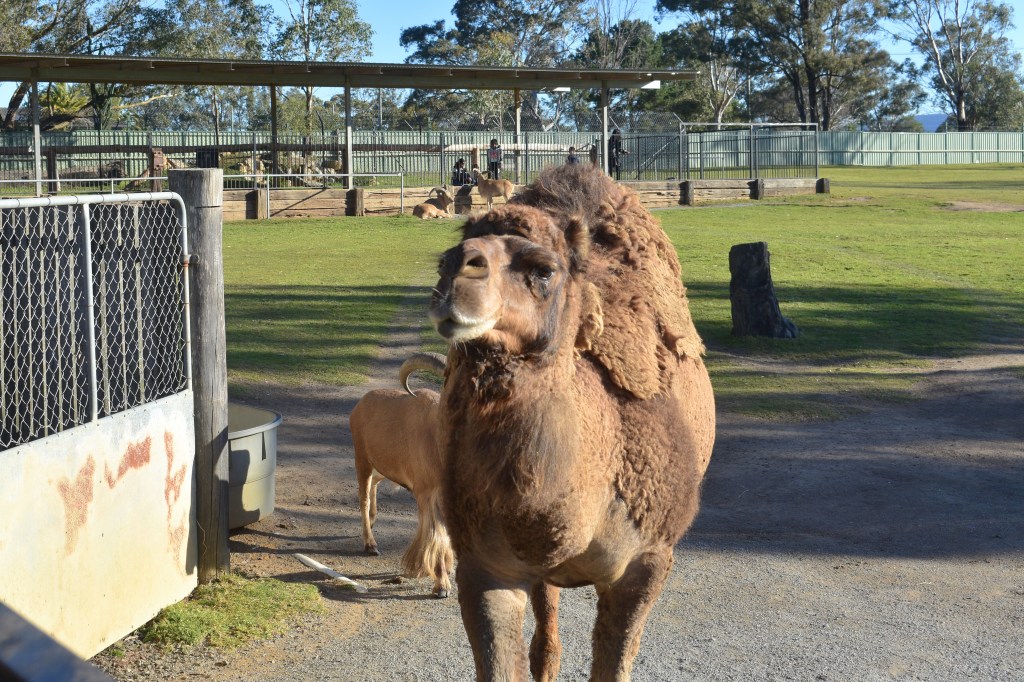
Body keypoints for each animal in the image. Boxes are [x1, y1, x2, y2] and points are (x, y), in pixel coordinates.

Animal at [348, 352, 454, 598]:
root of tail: (359, 406)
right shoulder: (427, 495)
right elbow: (436, 535)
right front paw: (441, 585)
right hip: (362, 460)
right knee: (363, 498)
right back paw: (370, 544)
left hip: (383, 467)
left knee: (375, 485)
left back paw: (374, 520)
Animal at [429, 163, 715, 680]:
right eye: (446, 256)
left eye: (543, 270)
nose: (457, 268)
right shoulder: (483, 563)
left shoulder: (648, 560)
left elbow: (615, 663)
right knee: (547, 633)